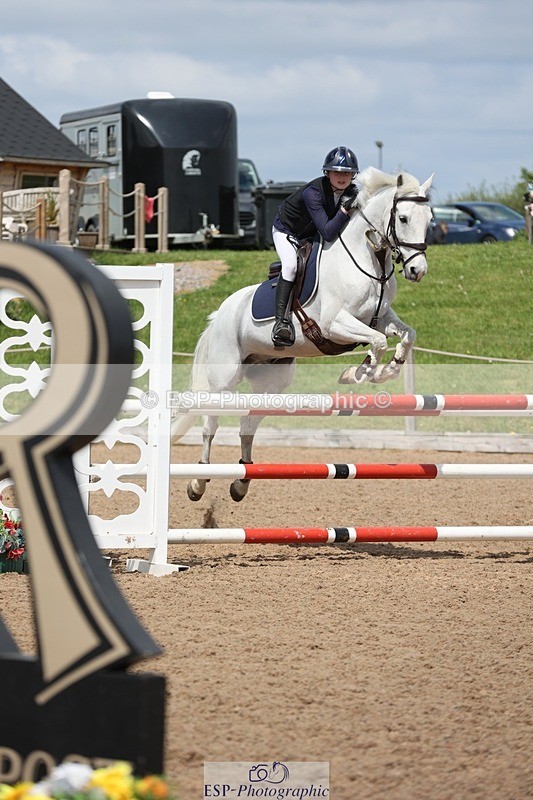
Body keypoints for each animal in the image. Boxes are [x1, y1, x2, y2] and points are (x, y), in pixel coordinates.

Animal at [172, 166, 433, 502]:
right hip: (224, 379)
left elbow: (406, 335)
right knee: (210, 423)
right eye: (402, 218)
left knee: (247, 423)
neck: (368, 259)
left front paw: (388, 369)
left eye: (429, 219)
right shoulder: (335, 323)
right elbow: (376, 343)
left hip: (271, 383)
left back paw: (241, 482)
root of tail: (219, 315)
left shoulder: (379, 318)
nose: (417, 271)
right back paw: (198, 482)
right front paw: (360, 372)